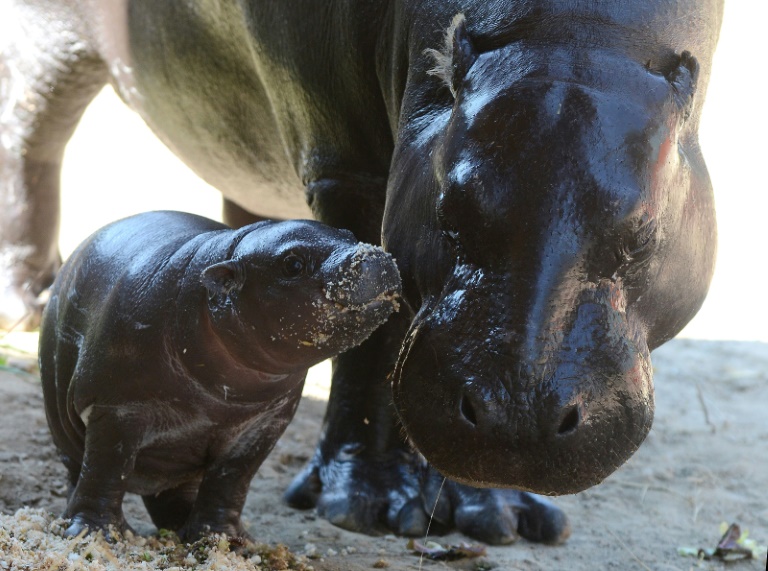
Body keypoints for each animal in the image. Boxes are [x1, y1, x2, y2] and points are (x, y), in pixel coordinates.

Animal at [39, 212, 402, 544]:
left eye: (349, 232)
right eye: (293, 263)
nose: (375, 254)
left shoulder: (262, 427)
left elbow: (231, 481)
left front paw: (225, 540)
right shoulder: (117, 408)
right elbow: (105, 467)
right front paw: (95, 534)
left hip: (174, 458)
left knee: (171, 493)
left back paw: (180, 529)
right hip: (65, 428)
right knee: (81, 472)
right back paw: (75, 519)